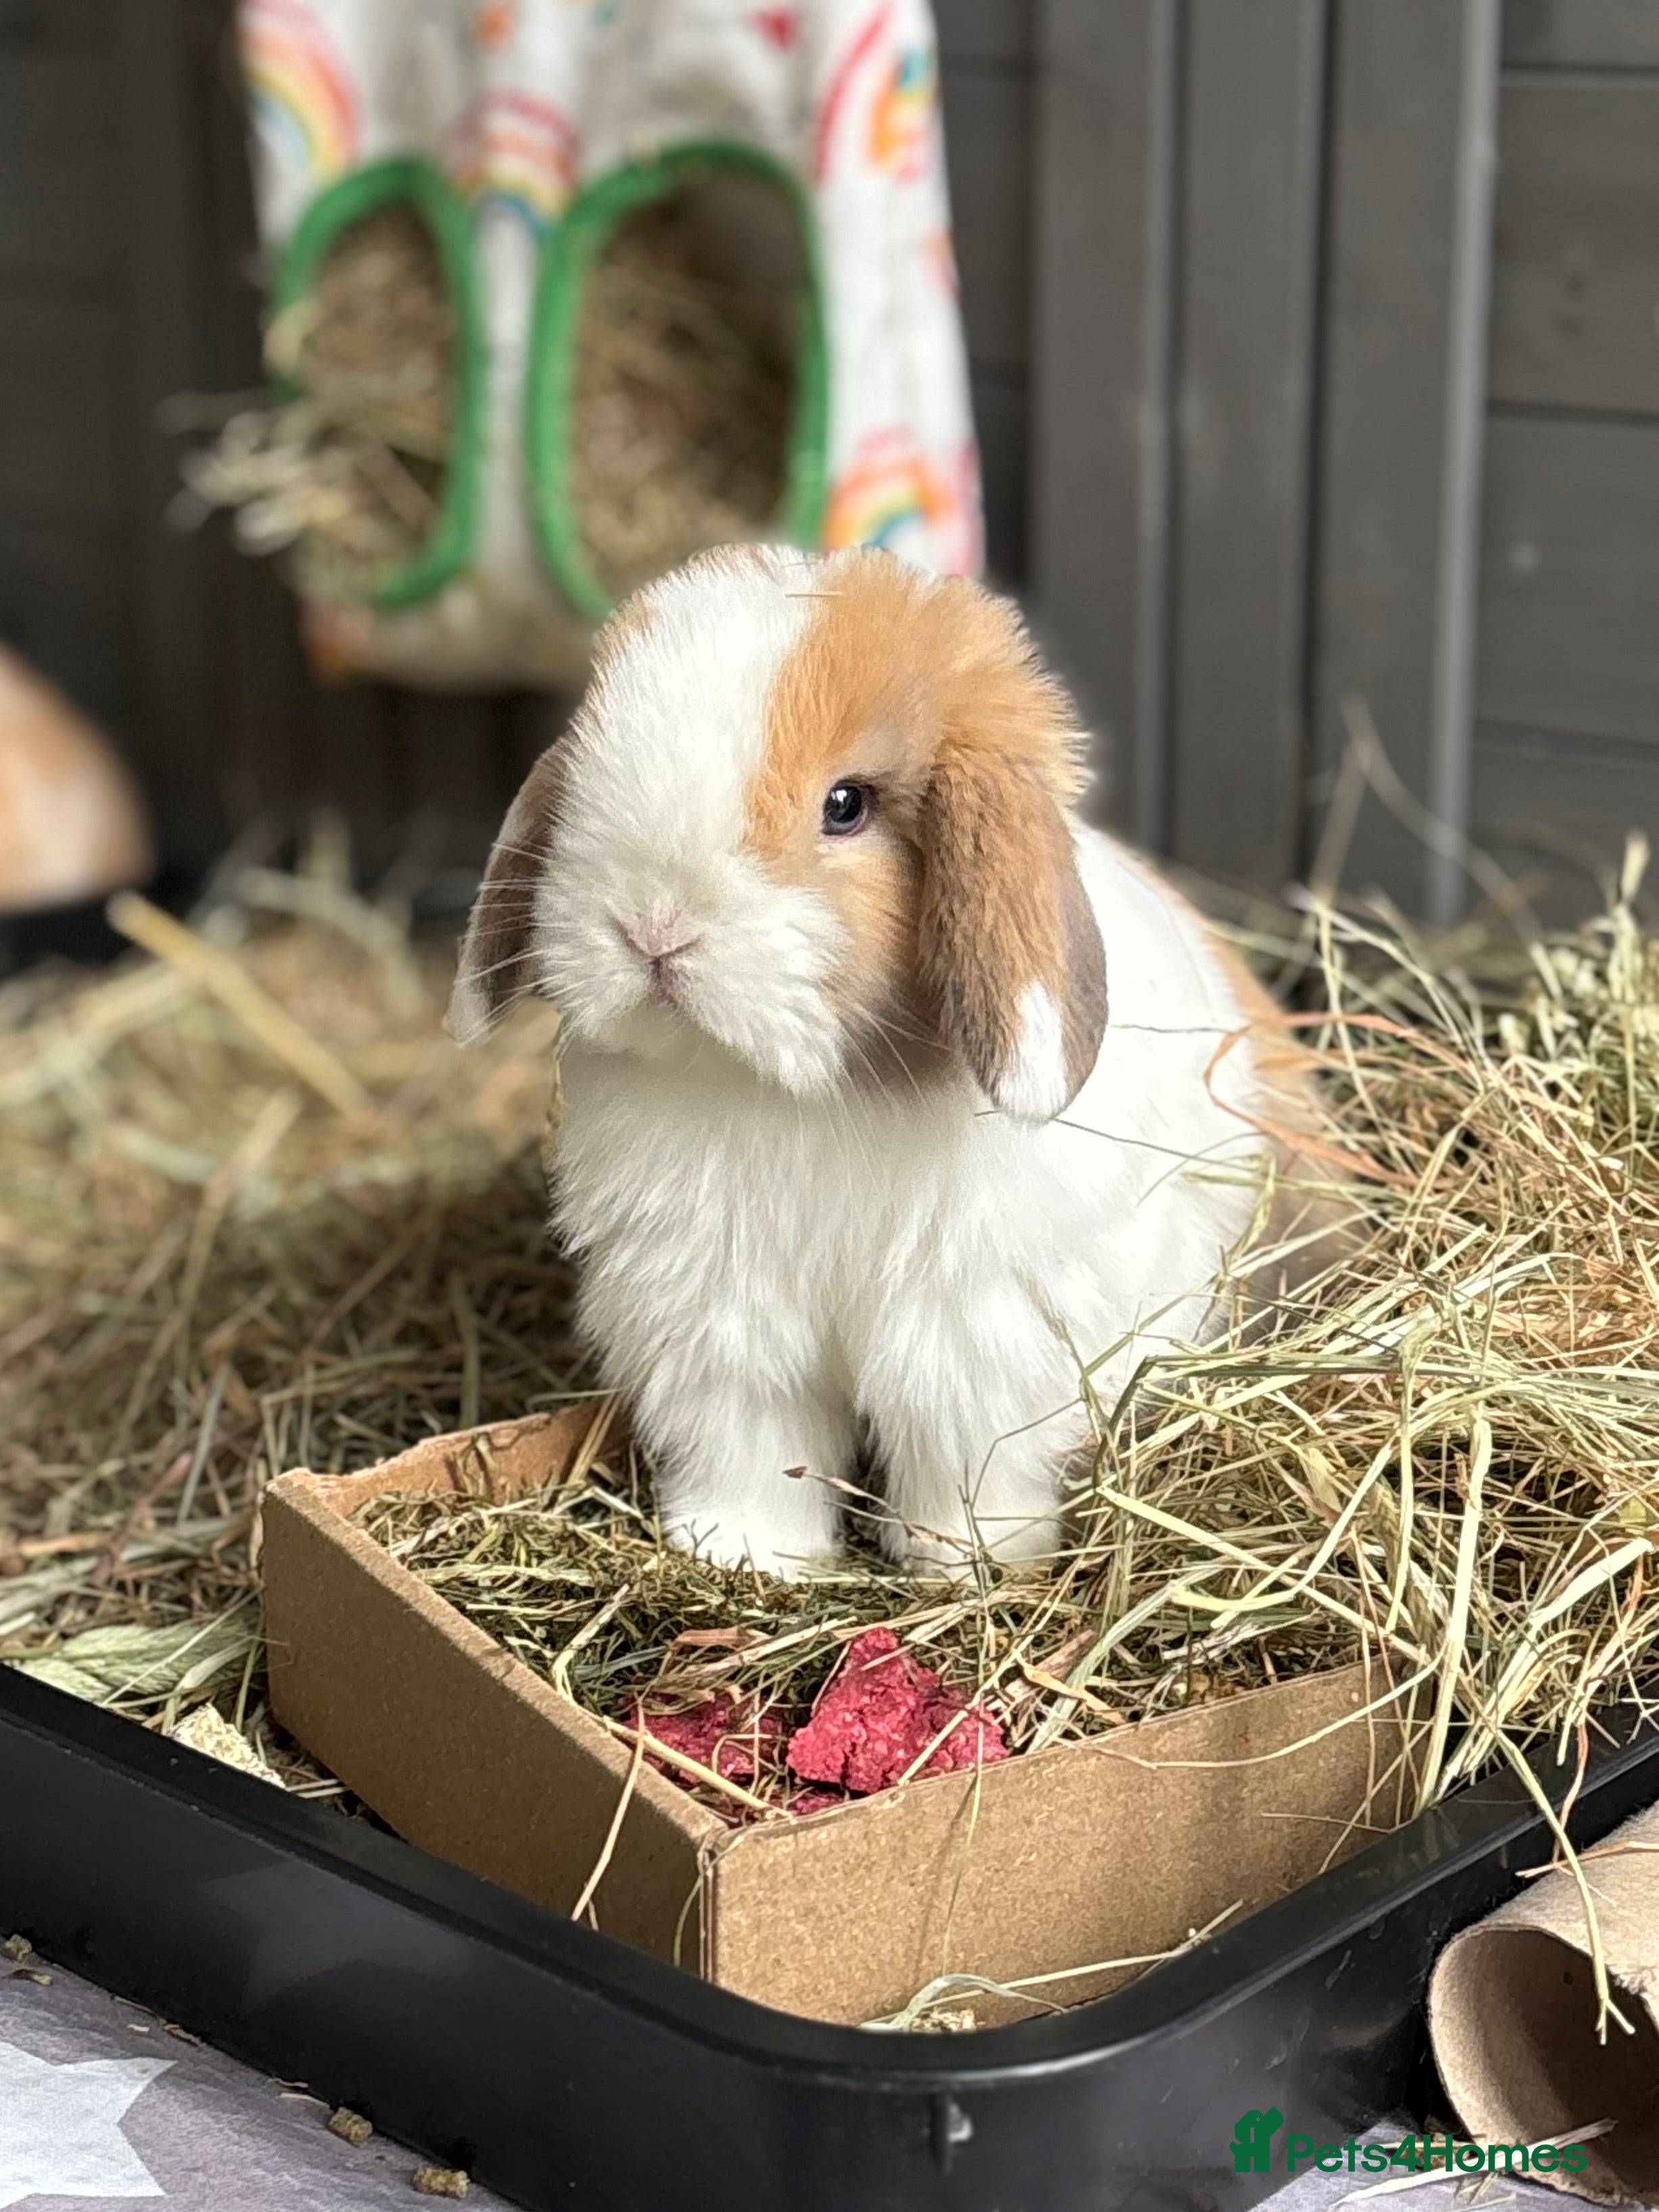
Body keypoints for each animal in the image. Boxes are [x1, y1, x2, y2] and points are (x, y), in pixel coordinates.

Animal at [449, 544, 1327, 1579]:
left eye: (846, 805)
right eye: (588, 766)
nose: (650, 924)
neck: (798, 1095)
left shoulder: (971, 1335)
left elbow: (962, 1458)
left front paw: (967, 1564)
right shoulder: (724, 1322)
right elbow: (755, 1448)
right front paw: (743, 1553)